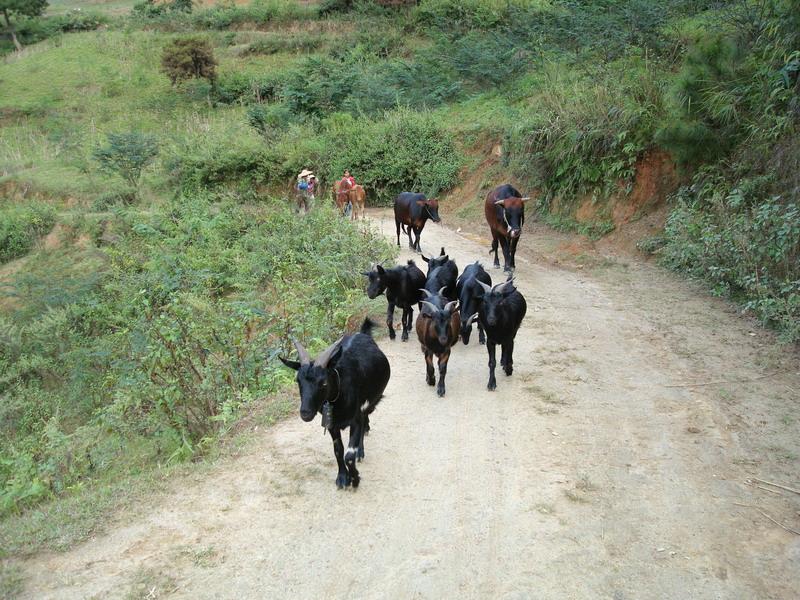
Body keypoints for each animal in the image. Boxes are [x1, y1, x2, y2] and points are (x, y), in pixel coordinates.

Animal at [280, 318, 390, 488]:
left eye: (323, 382)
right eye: (297, 380)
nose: (305, 413)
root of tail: (362, 334)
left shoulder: (355, 419)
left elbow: (349, 454)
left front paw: (355, 479)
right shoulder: (331, 423)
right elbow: (338, 450)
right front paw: (343, 477)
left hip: (372, 400)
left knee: (365, 417)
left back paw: (361, 450)